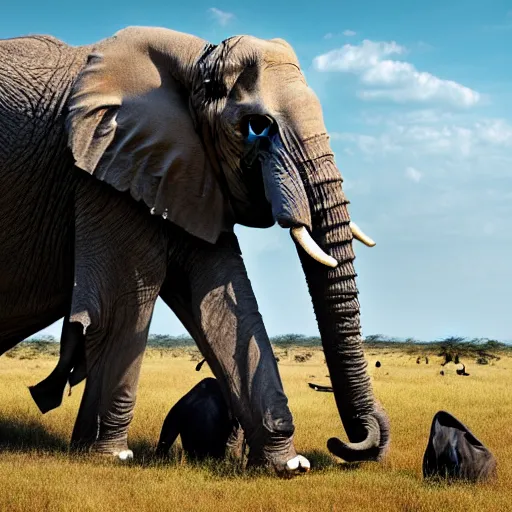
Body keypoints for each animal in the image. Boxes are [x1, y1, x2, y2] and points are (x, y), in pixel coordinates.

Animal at [0, 24, 388, 472]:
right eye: (257, 127)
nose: (346, 442)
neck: (196, 61)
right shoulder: (108, 170)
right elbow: (123, 303)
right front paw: (110, 456)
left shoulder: (180, 168)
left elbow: (221, 300)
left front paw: (287, 466)